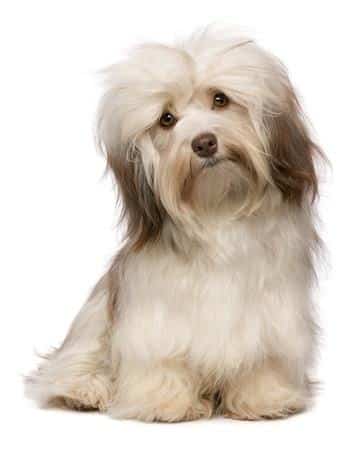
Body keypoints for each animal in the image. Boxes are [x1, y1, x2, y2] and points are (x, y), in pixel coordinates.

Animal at [25, 27, 324, 422]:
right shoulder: (154, 316)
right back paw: (83, 390)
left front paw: (264, 397)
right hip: (94, 318)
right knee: (72, 364)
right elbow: (162, 358)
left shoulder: (272, 311)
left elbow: (261, 355)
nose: (204, 142)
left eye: (220, 99)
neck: (217, 210)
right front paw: (165, 401)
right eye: (167, 119)